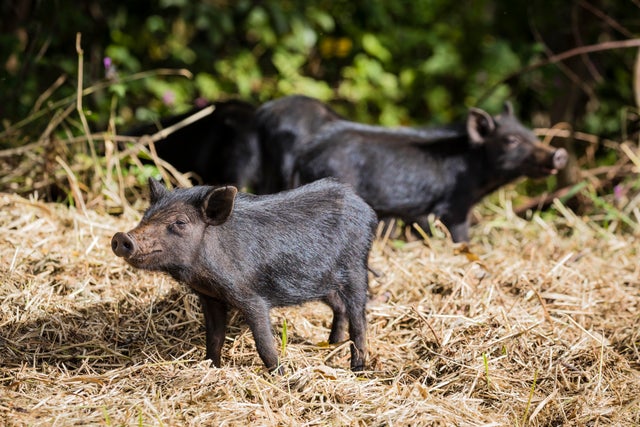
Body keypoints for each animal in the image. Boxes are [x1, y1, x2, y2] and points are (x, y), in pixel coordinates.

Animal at [111, 177, 377, 372]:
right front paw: (212, 367)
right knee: (339, 308)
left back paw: (358, 368)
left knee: (358, 318)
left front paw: (280, 374)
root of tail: (366, 209)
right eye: (146, 215)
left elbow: (264, 343)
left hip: (356, 267)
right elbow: (214, 337)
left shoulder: (252, 297)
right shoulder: (210, 297)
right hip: (324, 280)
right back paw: (330, 345)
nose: (122, 237)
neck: (202, 275)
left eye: (180, 222)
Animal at [295, 102, 568, 242]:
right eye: (511, 140)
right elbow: (460, 235)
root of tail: (306, 153)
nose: (559, 153)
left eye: (531, 134)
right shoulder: (454, 206)